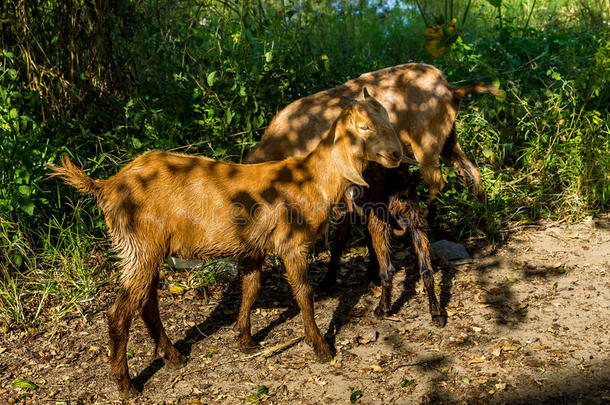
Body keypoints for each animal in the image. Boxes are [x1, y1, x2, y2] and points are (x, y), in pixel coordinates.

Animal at [47, 92, 400, 398]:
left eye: (388, 118)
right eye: (365, 127)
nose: (396, 154)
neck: (311, 179)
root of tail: (106, 186)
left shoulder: (254, 245)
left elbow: (251, 288)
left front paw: (245, 339)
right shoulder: (292, 243)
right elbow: (303, 293)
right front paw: (321, 347)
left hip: (148, 248)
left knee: (146, 303)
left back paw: (172, 356)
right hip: (139, 246)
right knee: (119, 313)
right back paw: (126, 383)